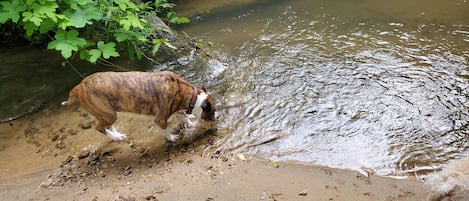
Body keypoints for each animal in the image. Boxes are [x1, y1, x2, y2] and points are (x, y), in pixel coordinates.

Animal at [60, 70, 216, 141]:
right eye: (213, 111)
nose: (216, 118)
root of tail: (79, 86)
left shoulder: (176, 109)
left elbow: (184, 117)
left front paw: (192, 123)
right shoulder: (161, 119)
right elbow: (166, 130)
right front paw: (172, 138)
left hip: (109, 113)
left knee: (107, 126)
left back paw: (118, 135)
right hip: (108, 113)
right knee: (99, 128)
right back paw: (115, 137)